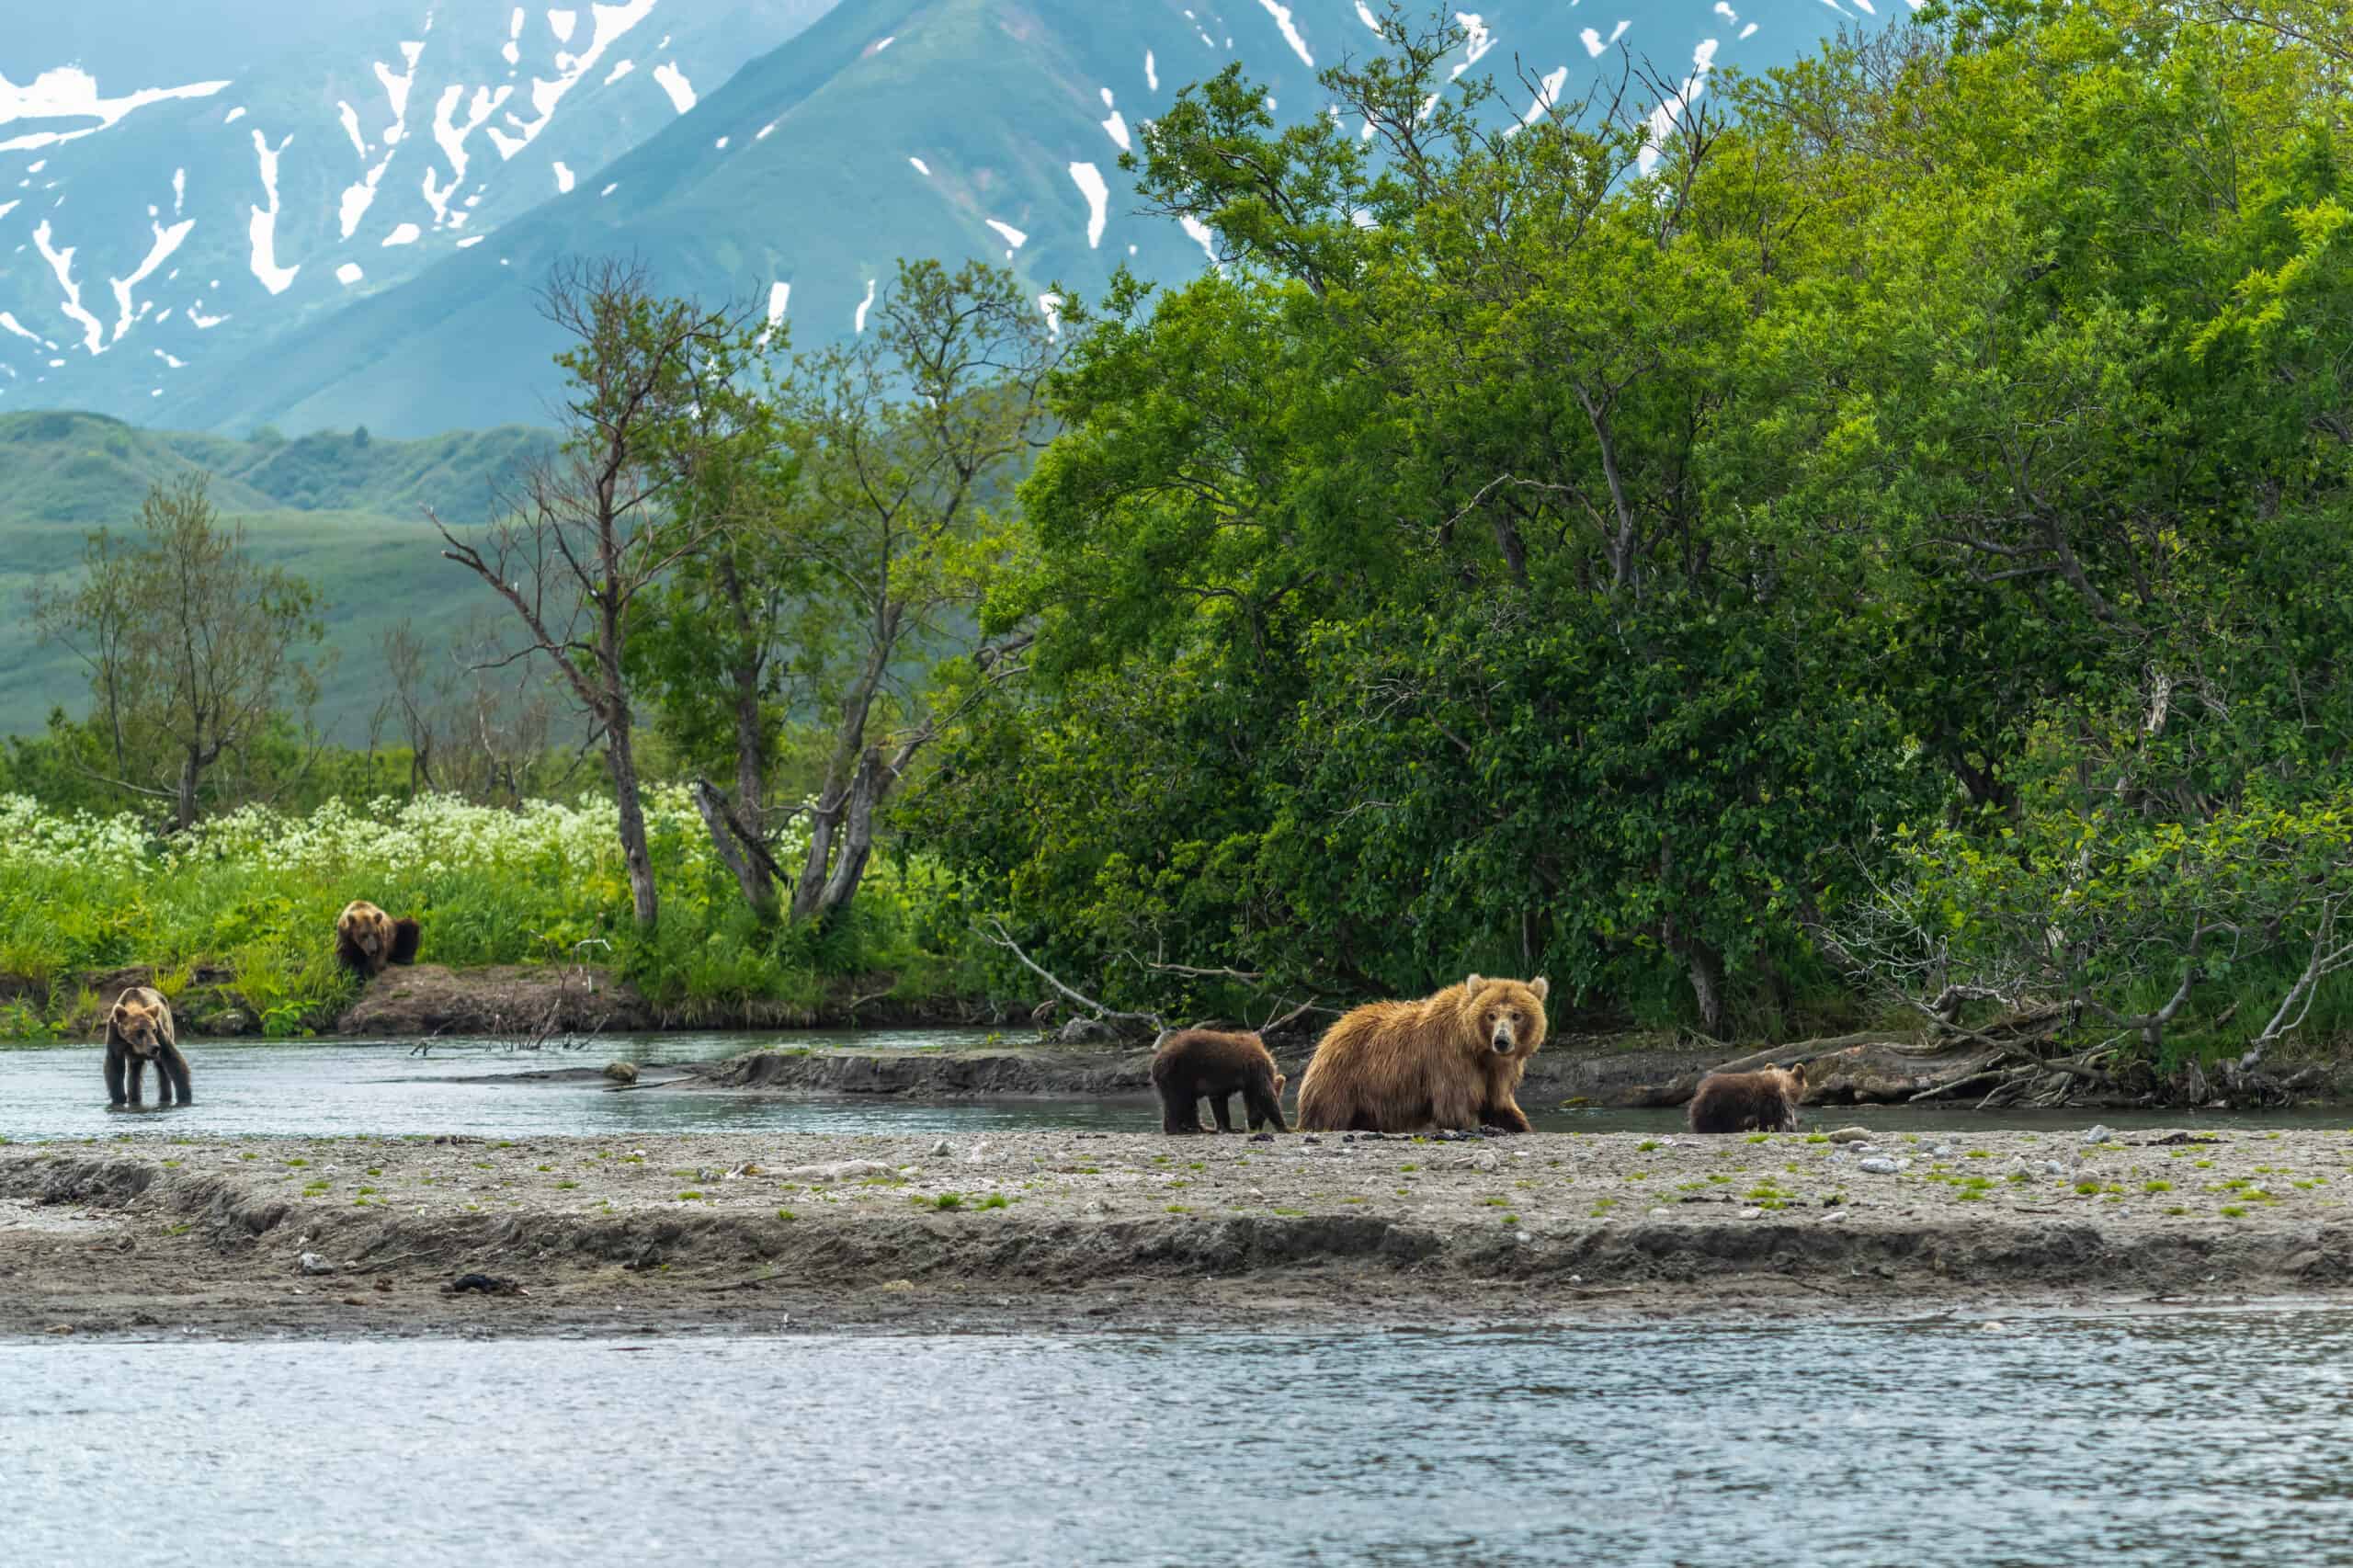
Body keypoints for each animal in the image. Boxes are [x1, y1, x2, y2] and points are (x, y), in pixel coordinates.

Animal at [105, 985, 193, 1108]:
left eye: (153, 1030)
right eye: (140, 1031)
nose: (155, 1047)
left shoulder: (160, 1034)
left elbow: (173, 1059)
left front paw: (185, 1097)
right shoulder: (116, 1038)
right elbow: (115, 1068)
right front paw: (118, 1099)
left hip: (169, 1025)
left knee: (162, 1070)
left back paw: (165, 1097)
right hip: (135, 1058)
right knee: (134, 1074)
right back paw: (134, 1098)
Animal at [1150, 1029, 1289, 1135]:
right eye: (1263, 1115)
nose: (1255, 1127)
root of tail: (1156, 1061)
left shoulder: (1223, 1083)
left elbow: (1219, 1102)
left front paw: (1230, 1128)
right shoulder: (1255, 1071)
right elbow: (1265, 1096)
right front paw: (1285, 1127)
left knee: (1186, 1103)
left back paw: (1200, 1128)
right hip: (1179, 1074)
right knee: (1177, 1101)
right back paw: (1178, 1129)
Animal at [1295, 974, 1550, 1134]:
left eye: (1516, 1015)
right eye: (1491, 1015)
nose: (1502, 1040)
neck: (1478, 1049)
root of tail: (1335, 1027)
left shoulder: (1498, 1071)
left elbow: (1499, 1104)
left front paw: (1520, 1125)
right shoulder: (1451, 1057)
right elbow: (1455, 1105)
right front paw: (1471, 1125)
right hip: (1344, 1076)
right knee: (1328, 1112)